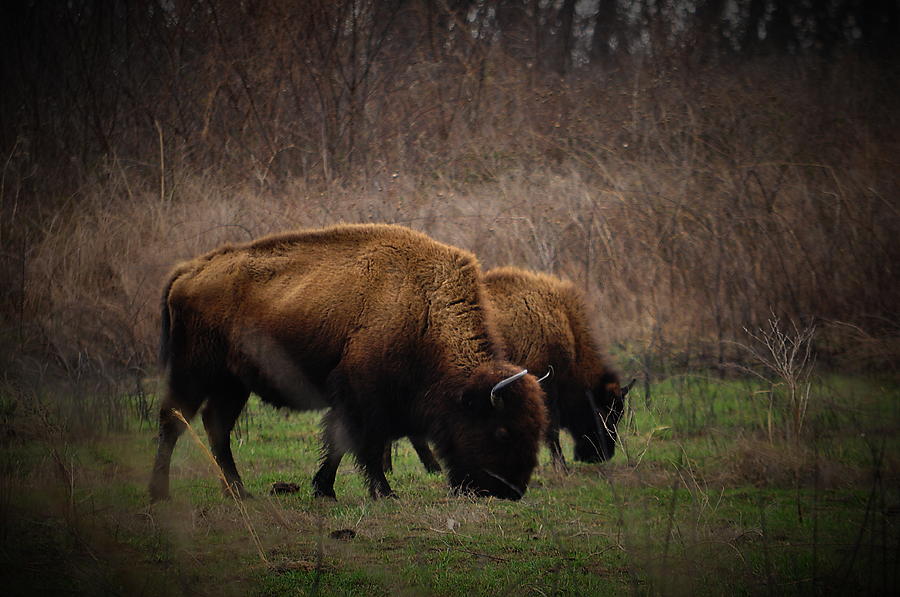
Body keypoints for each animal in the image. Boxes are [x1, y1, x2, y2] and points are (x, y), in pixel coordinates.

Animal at [148, 221, 548, 500]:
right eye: (501, 430)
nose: (510, 491)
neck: (423, 309)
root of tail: (189, 271)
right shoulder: (363, 396)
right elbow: (362, 443)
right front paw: (384, 492)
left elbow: (338, 444)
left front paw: (324, 489)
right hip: (194, 372)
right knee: (173, 421)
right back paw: (160, 493)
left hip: (233, 383)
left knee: (216, 426)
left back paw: (239, 493)